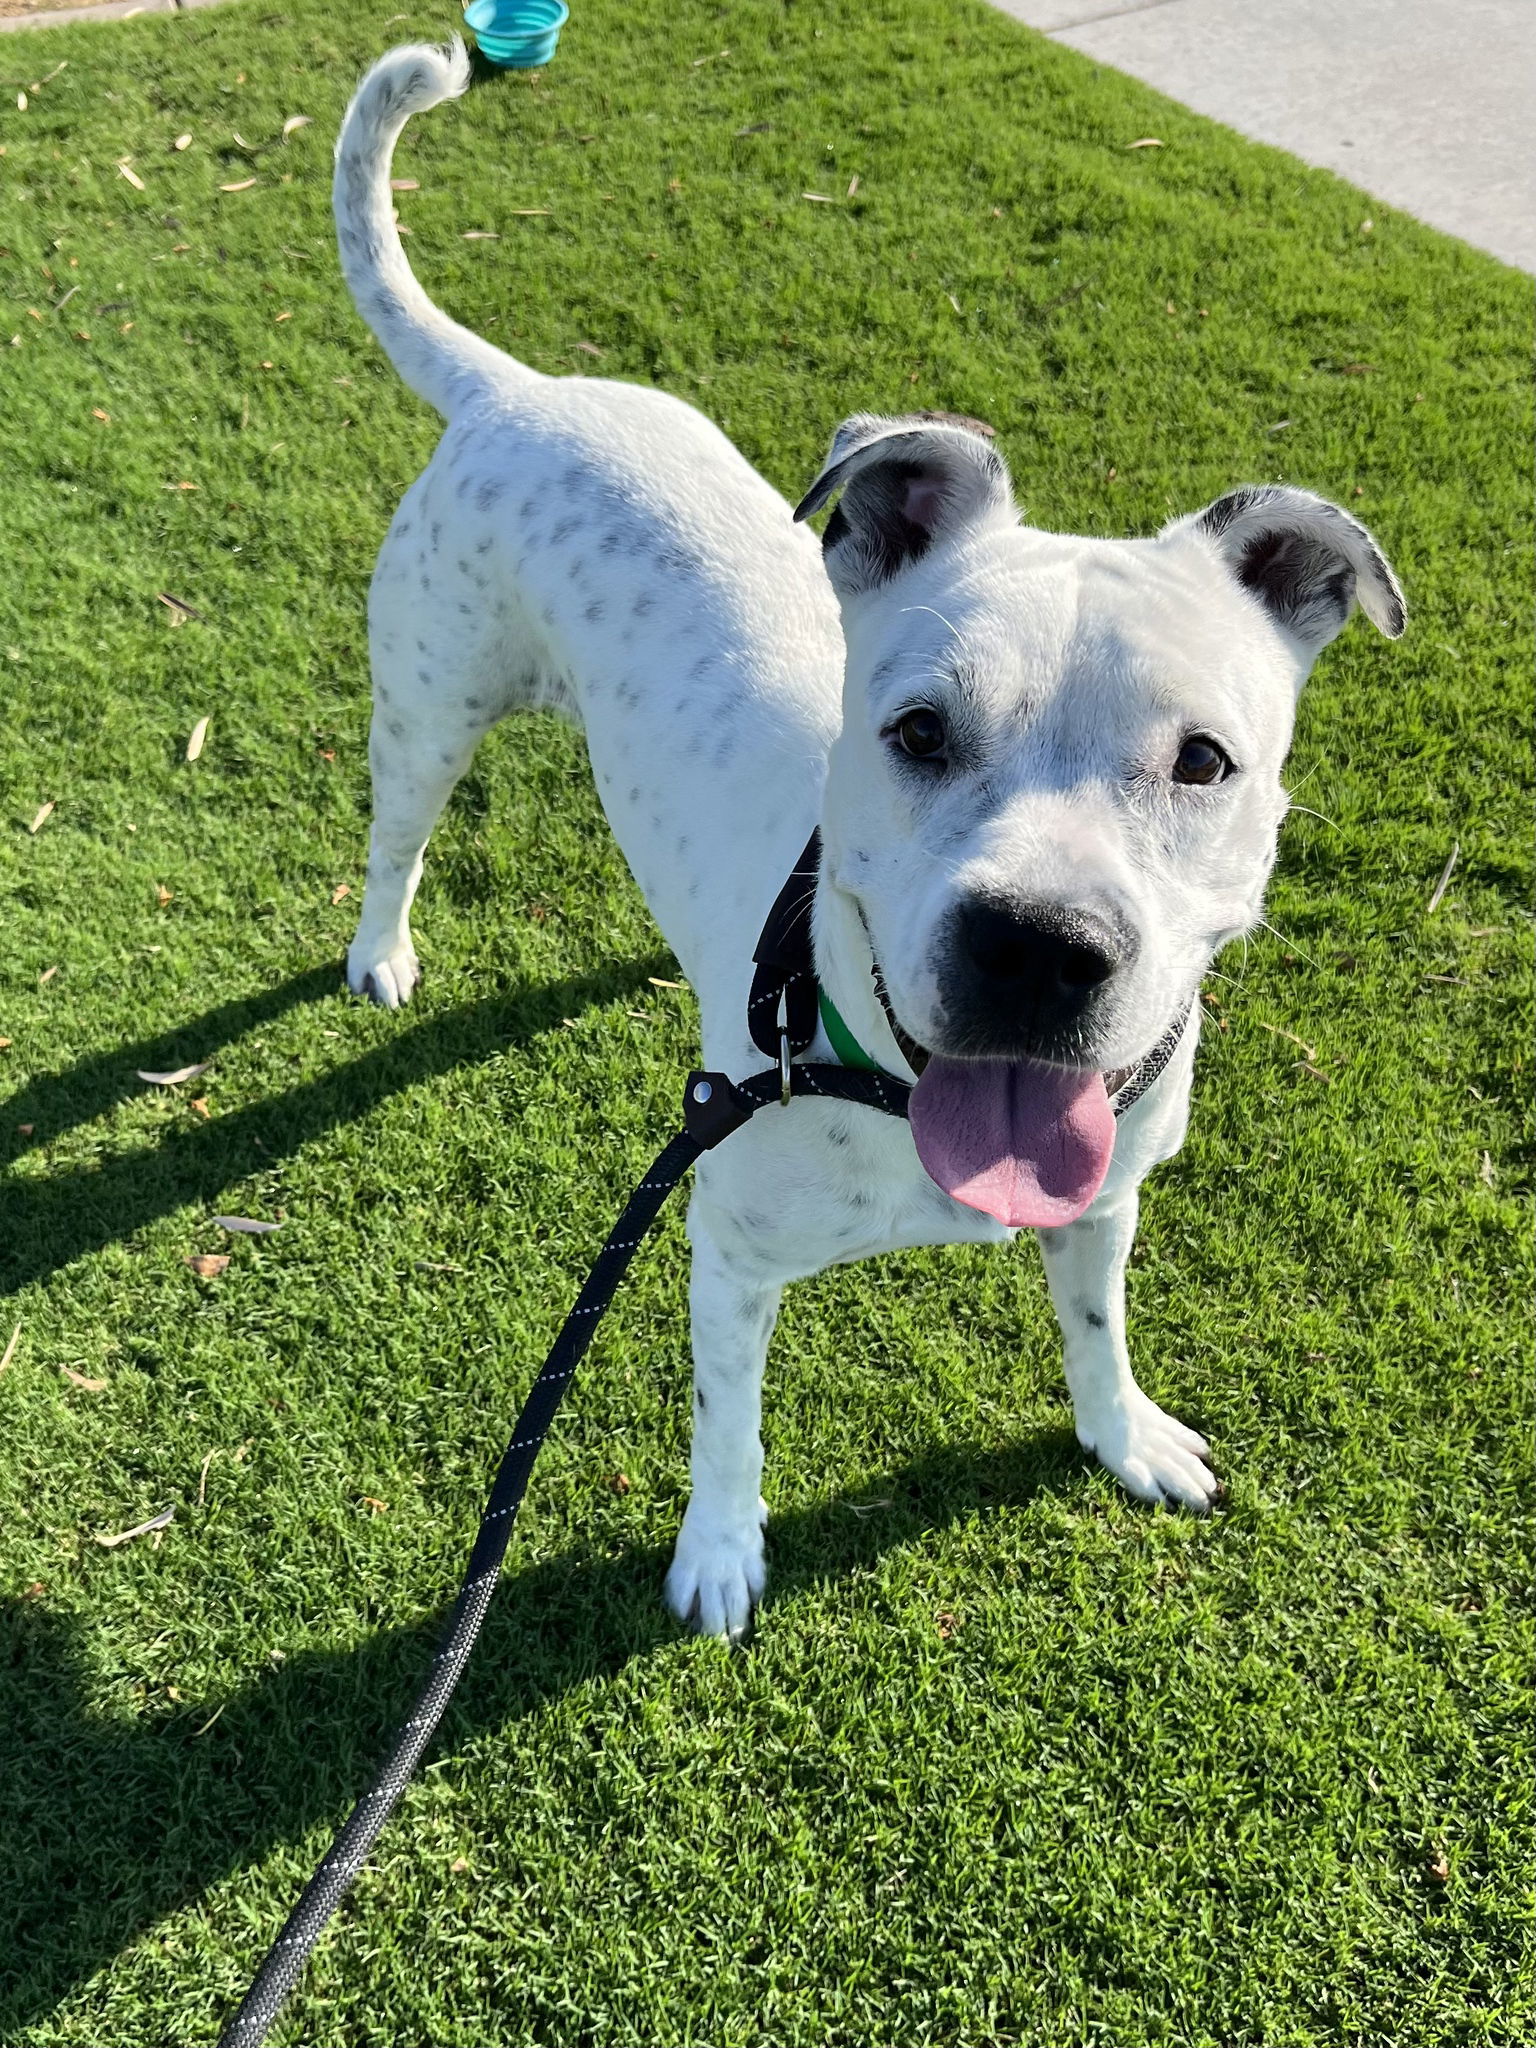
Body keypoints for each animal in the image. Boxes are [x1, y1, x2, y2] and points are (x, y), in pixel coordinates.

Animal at [333, 44, 1409, 1630]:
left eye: (1204, 761)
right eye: (915, 730)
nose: (1038, 947)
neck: (885, 1078)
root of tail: (522, 389)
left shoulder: (1107, 1204)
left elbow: (1096, 1323)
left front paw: (1122, 1433)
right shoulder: (724, 1251)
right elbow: (727, 1421)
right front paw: (720, 1552)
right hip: (429, 704)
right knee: (397, 836)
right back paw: (382, 951)